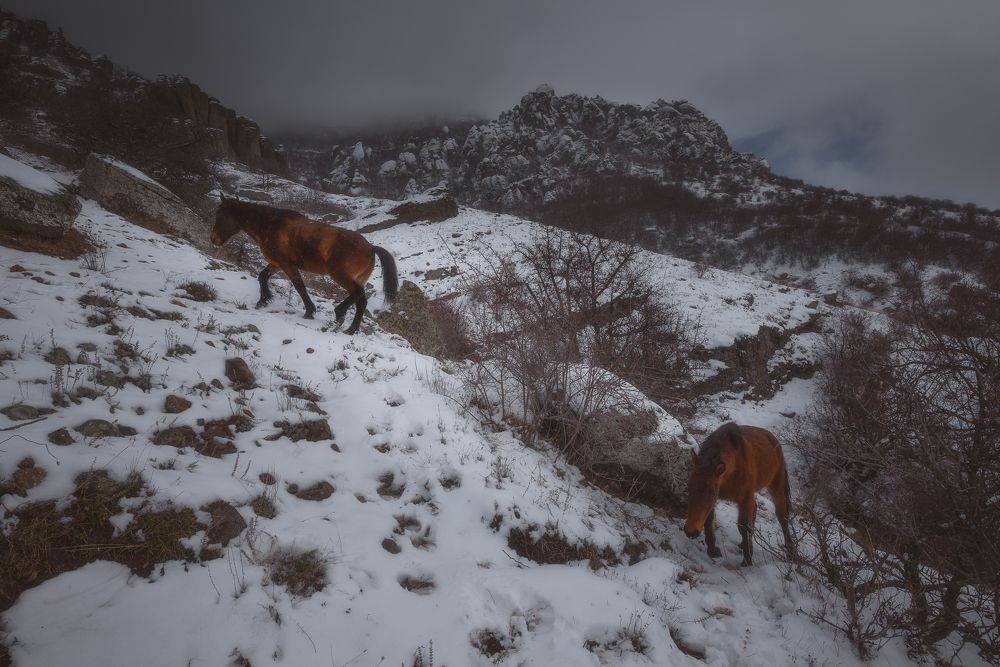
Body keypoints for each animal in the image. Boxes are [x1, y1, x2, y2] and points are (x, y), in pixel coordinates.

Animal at [210, 197, 398, 335]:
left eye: (221, 215)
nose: (213, 239)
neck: (270, 225)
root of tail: (371, 248)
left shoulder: (287, 264)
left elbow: (299, 286)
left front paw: (309, 311)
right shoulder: (277, 263)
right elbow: (263, 276)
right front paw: (263, 299)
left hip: (340, 275)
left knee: (358, 294)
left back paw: (340, 314)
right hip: (355, 278)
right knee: (361, 302)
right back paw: (351, 329)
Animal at [683, 422, 794, 566]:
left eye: (711, 492)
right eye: (689, 486)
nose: (690, 531)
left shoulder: (744, 499)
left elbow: (743, 526)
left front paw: (747, 560)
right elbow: (709, 520)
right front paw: (713, 550)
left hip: (776, 487)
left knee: (782, 517)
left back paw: (791, 554)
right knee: (755, 510)